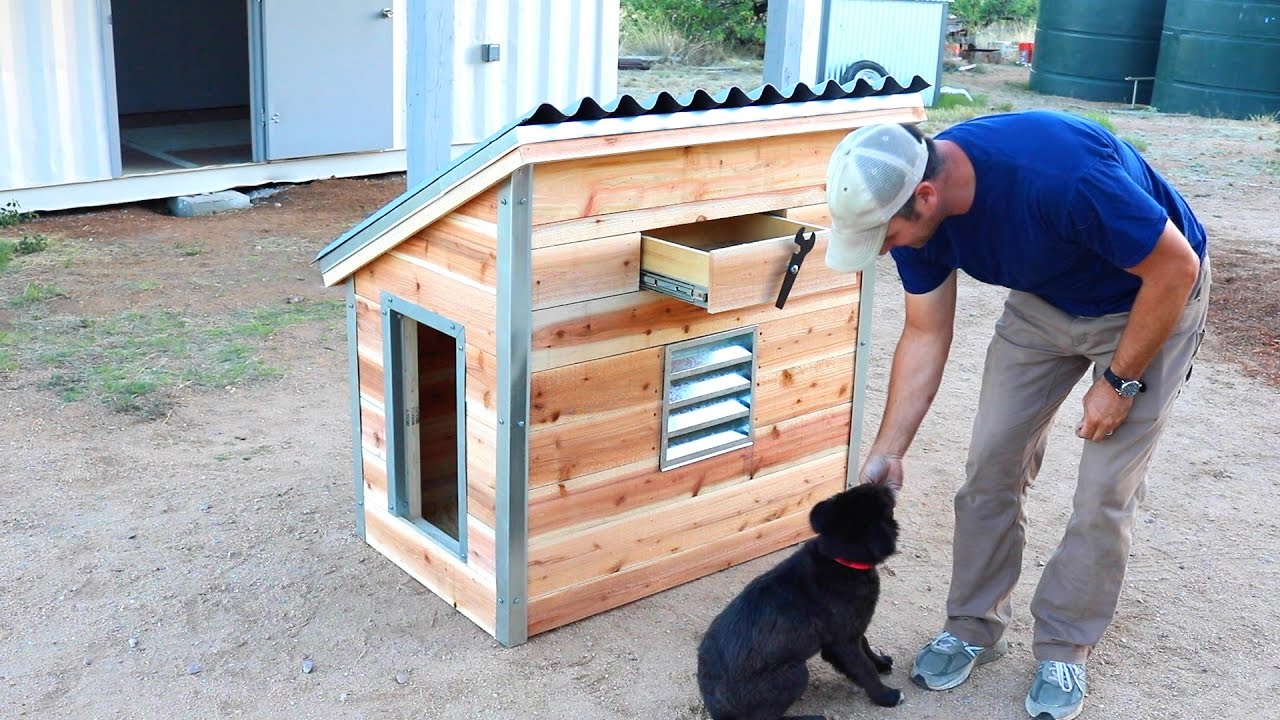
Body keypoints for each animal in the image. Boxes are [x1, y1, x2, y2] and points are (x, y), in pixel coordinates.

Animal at [701, 481, 901, 717]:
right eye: (885, 505)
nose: (883, 484)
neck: (838, 560)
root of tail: (717, 711)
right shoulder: (841, 643)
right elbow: (864, 669)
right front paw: (886, 696)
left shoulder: (855, 628)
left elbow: (867, 647)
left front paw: (882, 663)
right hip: (796, 673)